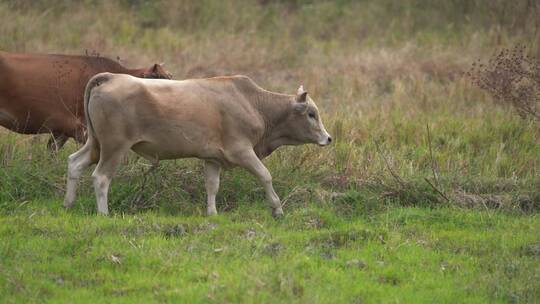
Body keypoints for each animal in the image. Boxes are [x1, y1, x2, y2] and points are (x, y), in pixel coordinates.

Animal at [65, 73, 332, 216]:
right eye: (311, 114)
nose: (328, 138)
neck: (253, 103)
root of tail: (110, 77)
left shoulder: (212, 158)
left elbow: (212, 186)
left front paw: (212, 213)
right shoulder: (242, 151)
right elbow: (265, 176)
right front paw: (277, 209)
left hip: (96, 145)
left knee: (75, 163)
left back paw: (68, 204)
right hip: (114, 147)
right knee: (101, 178)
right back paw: (104, 213)